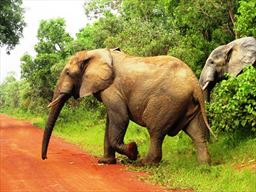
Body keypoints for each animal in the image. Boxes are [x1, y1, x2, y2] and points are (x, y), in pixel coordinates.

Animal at [42, 48, 214, 165]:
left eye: (67, 73)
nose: (44, 158)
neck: (94, 53)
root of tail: (195, 85)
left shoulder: (112, 88)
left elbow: (121, 118)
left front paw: (133, 151)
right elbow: (110, 121)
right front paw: (106, 161)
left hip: (168, 101)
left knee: (156, 130)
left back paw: (144, 163)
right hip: (189, 104)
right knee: (197, 133)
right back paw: (204, 166)